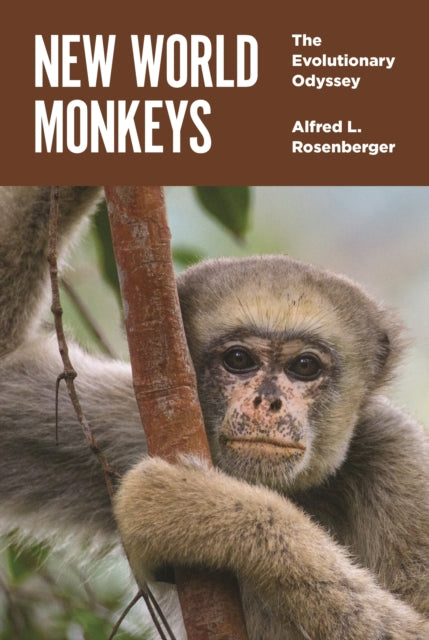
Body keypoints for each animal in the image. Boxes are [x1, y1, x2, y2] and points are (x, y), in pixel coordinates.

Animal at [0, 186, 428, 639]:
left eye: (304, 366)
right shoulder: (130, 422)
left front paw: (200, 507)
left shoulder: (398, 453)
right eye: (239, 360)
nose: (267, 402)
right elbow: (6, 370)